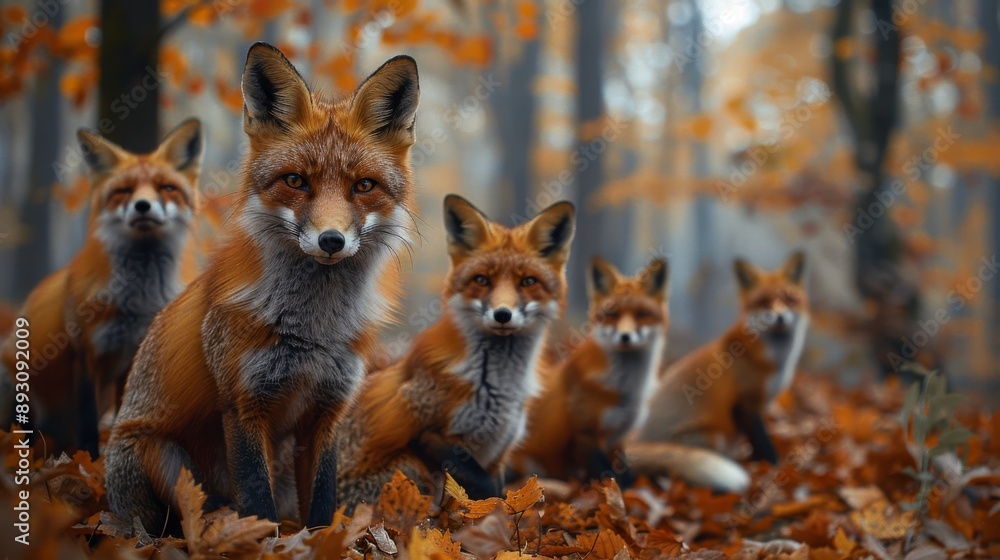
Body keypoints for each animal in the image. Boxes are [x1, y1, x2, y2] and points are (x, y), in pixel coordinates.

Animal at [0, 119, 203, 455]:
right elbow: (87, 427)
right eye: (123, 191)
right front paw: (91, 462)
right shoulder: (85, 356)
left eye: (166, 187)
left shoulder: (132, 361)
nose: (143, 205)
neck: (137, 302)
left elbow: (123, 417)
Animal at [104, 43, 420, 533]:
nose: (332, 240)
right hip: (162, 456)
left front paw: (319, 541)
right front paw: (261, 541)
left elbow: (323, 505)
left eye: (363, 186)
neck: (313, 331)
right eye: (295, 181)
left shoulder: (328, 409)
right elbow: (256, 501)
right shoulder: (243, 403)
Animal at [335, 194, 576, 511]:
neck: (498, 388)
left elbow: (493, 487)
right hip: (411, 471)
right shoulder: (426, 432)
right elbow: (488, 491)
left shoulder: (500, 449)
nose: (502, 314)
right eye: (482, 280)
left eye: (528, 282)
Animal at [514, 256, 668, 486]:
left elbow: (625, 475)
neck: (627, 389)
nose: (625, 336)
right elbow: (607, 474)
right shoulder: (584, 434)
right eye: (612, 314)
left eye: (642, 314)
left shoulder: (618, 438)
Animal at [627, 251, 809, 493]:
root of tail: (640, 440)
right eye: (763, 302)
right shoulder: (746, 403)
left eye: (789, 300)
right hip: (711, 436)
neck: (775, 360)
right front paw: (772, 468)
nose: (779, 316)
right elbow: (764, 445)